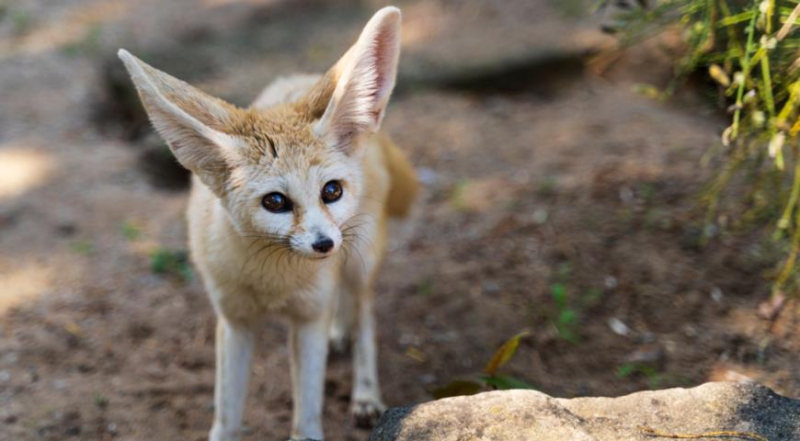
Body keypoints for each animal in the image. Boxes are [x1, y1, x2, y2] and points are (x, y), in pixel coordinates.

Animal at [119, 7, 418, 440]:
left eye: (331, 191)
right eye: (275, 201)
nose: (324, 245)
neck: (274, 282)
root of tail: (300, 77)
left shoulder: (308, 317)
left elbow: (307, 414)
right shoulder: (234, 321)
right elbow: (227, 412)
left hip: (360, 259)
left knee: (365, 315)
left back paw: (365, 391)